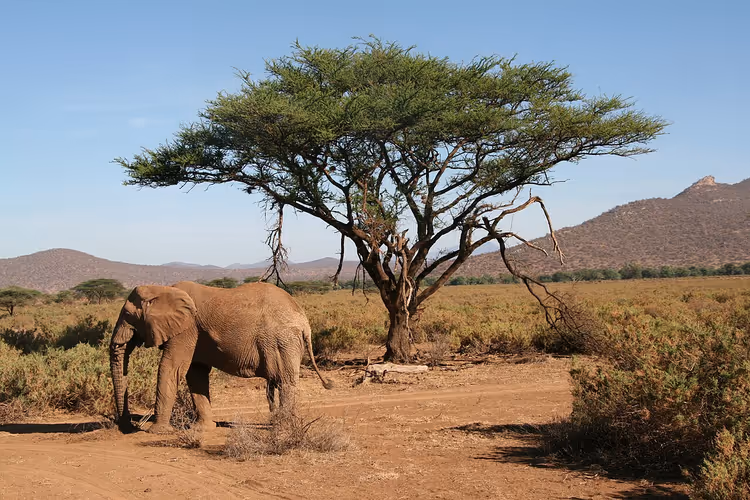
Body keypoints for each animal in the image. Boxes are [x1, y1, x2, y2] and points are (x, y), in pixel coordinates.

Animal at [109, 280, 333, 434]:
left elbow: (171, 368)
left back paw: (284, 428)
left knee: (285, 381)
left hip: (282, 340)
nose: (128, 425)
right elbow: (196, 374)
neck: (163, 289)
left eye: (128, 315)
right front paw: (203, 429)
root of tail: (304, 322)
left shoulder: (187, 329)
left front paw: (157, 432)